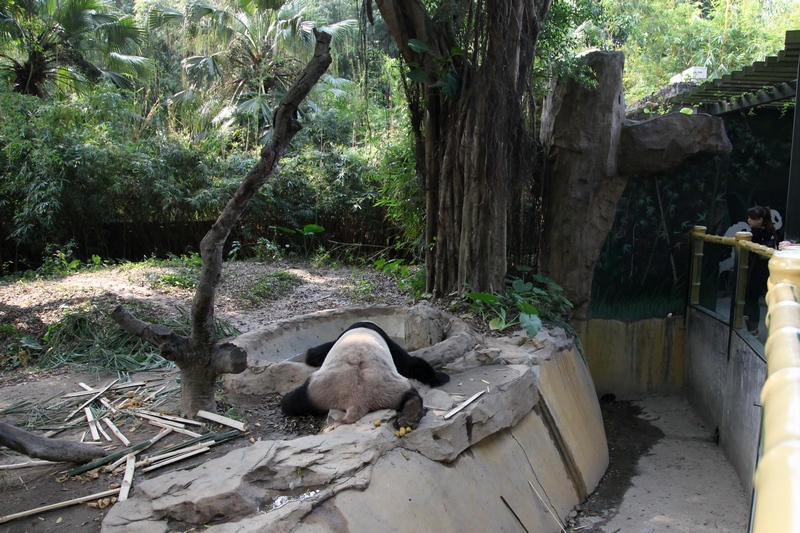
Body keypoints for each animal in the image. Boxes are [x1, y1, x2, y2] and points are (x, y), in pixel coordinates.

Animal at [280, 322, 447, 429]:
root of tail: (356, 402)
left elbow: (410, 364)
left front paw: (441, 377)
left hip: (321, 389)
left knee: (292, 402)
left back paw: (409, 417)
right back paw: (409, 416)